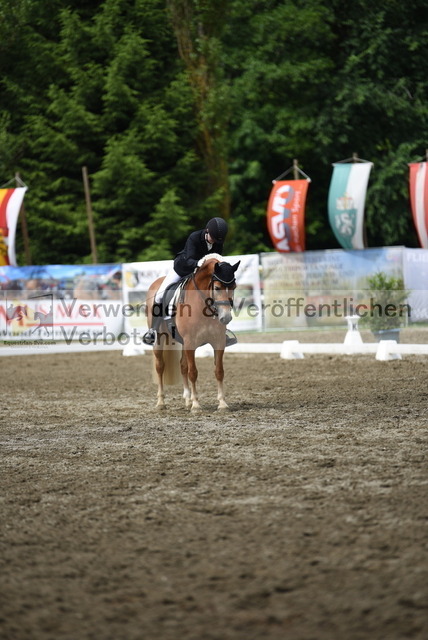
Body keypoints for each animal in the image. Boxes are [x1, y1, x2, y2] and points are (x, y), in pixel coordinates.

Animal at [145, 254, 240, 412]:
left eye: (234, 287)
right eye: (217, 288)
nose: (226, 318)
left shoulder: (218, 342)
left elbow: (219, 371)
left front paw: (222, 403)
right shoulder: (190, 343)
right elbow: (193, 372)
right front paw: (196, 405)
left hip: (183, 342)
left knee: (182, 366)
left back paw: (187, 400)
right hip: (160, 339)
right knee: (160, 366)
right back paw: (161, 402)